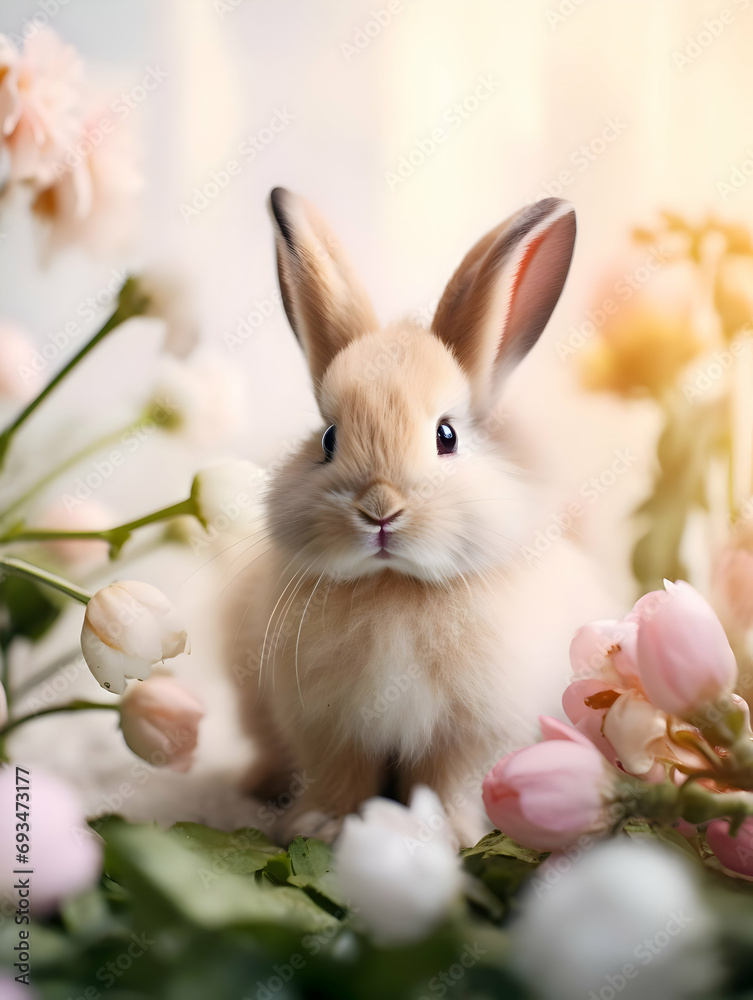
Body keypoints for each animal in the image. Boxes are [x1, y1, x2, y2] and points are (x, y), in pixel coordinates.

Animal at [228, 187, 616, 848]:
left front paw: (446, 836)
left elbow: (448, 781)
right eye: (328, 439)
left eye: (446, 435)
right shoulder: (327, 727)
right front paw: (321, 827)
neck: (397, 589)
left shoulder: (474, 732)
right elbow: (340, 777)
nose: (380, 511)